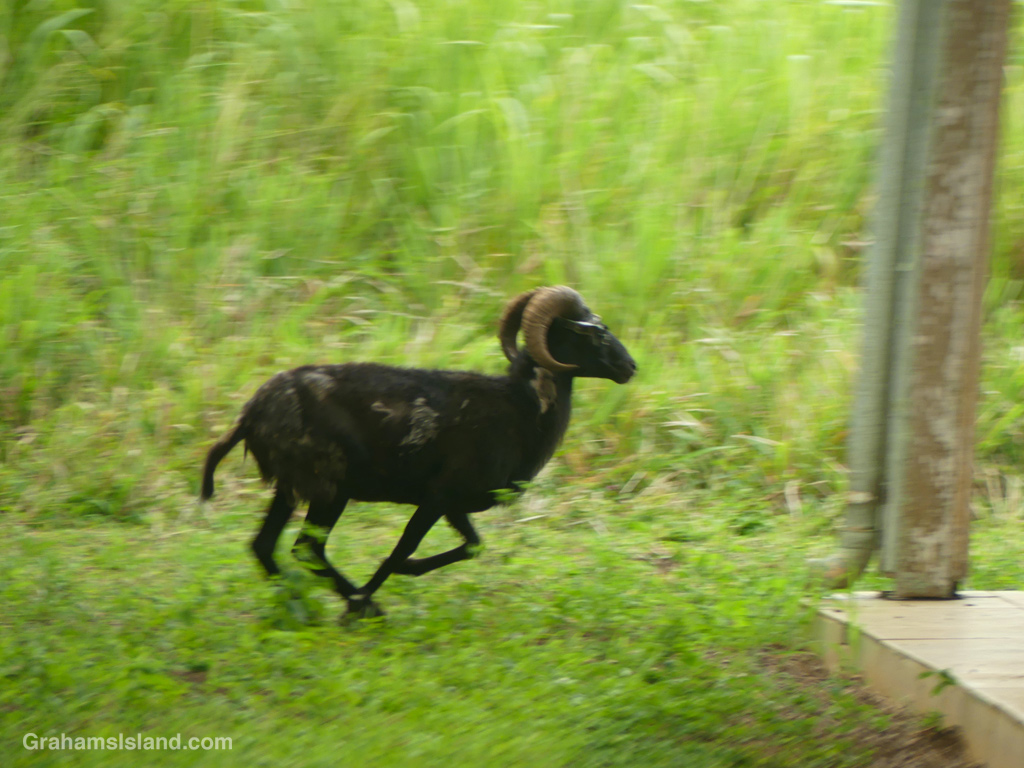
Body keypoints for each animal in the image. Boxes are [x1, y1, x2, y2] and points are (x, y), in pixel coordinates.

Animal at [201, 286, 636, 618]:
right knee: (306, 548)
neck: (523, 406)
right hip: (329, 487)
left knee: (265, 547)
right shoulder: (439, 495)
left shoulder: (455, 503)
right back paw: (360, 607)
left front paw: (396, 579)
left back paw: (303, 606)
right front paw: (367, 597)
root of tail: (251, 414)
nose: (630, 367)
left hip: (291, 487)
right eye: (597, 333)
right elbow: (403, 549)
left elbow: (472, 546)